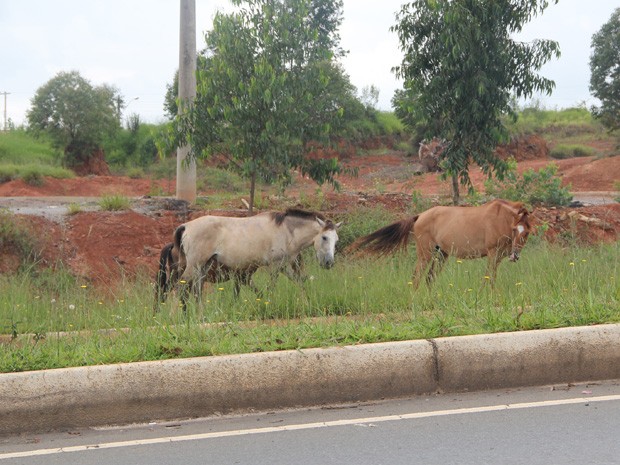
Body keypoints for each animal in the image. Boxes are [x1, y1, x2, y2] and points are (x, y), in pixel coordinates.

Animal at [154, 208, 340, 310]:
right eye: (324, 237)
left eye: (336, 240)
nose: (329, 263)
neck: (285, 230)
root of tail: (186, 226)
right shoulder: (274, 266)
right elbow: (271, 287)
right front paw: (269, 306)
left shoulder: (283, 266)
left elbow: (300, 282)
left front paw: (308, 303)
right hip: (193, 266)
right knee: (180, 287)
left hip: (203, 267)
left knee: (196, 290)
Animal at [352, 198, 532, 288]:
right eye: (514, 229)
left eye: (526, 232)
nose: (515, 255)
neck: (500, 218)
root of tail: (420, 216)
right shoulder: (492, 253)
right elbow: (490, 278)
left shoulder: (499, 256)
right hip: (425, 254)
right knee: (416, 277)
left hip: (441, 255)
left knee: (429, 278)